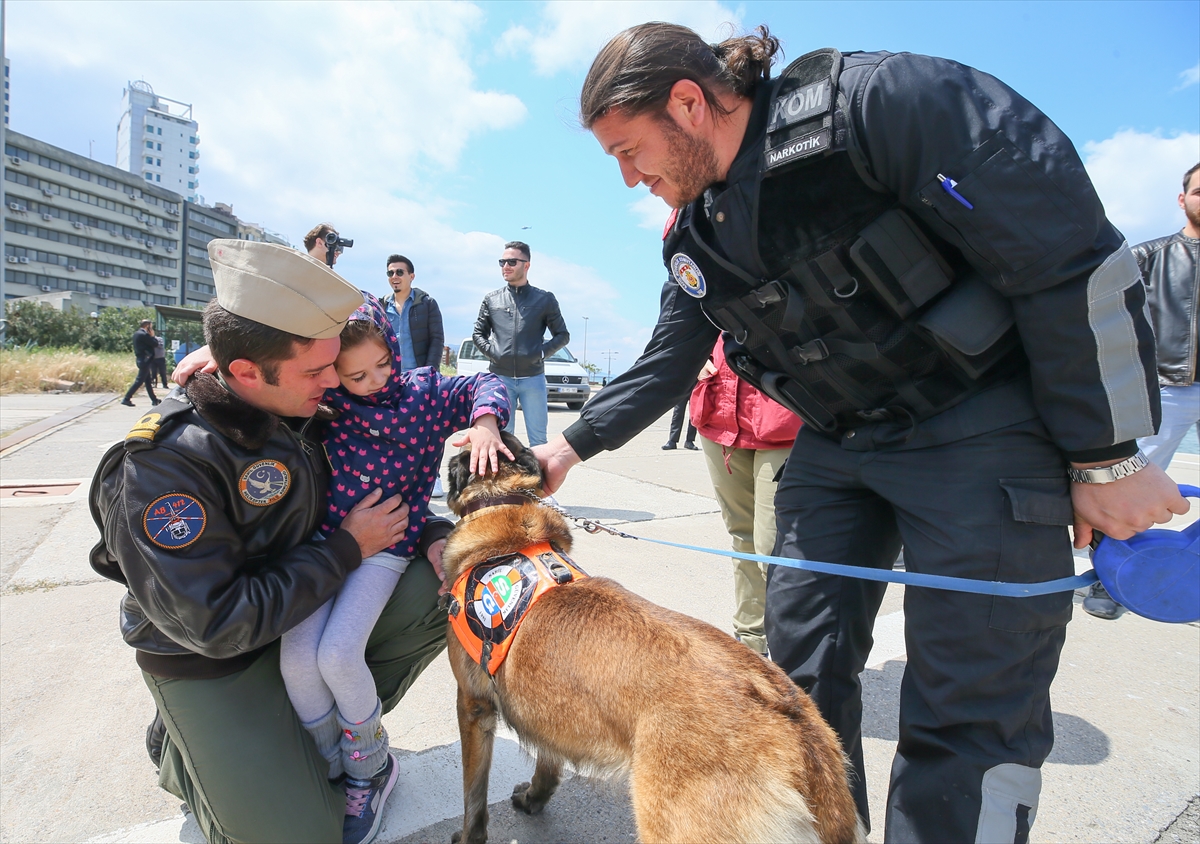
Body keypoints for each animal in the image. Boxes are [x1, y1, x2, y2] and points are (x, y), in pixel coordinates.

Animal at [441, 437, 864, 844]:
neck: (504, 510)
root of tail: (799, 730)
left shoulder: (473, 706)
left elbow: (473, 796)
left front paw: (469, 836)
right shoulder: (547, 714)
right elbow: (548, 758)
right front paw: (535, 797)